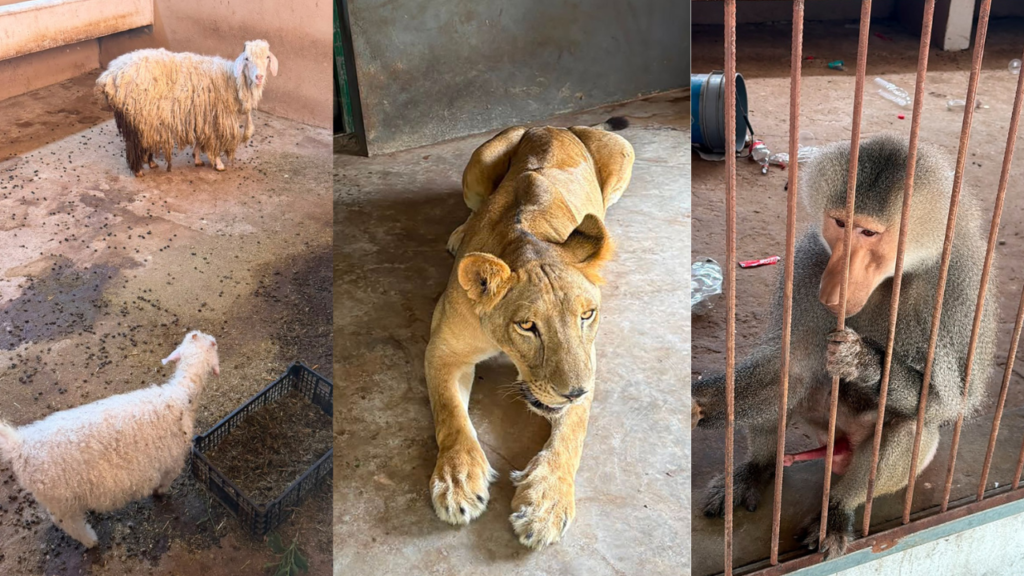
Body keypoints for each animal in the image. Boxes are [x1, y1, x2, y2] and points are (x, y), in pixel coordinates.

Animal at [691, 133, 997, 559]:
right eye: (840, 224)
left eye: (868, 233)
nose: (833, 290)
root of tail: (836, 446)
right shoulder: (809, 264)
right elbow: (788, 368)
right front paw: (698, 405)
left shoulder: (961, 288)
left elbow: (953, 402)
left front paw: (862, 361)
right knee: (788, 387)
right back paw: (755, 470)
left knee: (911, 424)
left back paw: (836, 510)